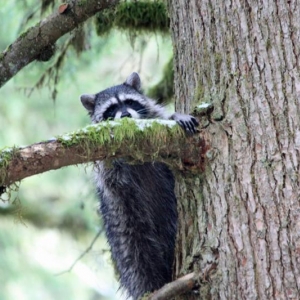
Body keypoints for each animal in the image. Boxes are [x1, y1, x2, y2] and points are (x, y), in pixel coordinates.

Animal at [80, 73, 199, 300]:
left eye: (130, 102)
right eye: (111, 109)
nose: (126, 115)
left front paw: (175, 116)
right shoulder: (106, 167)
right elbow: (111, 172)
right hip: (123, 217)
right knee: (137, 256)